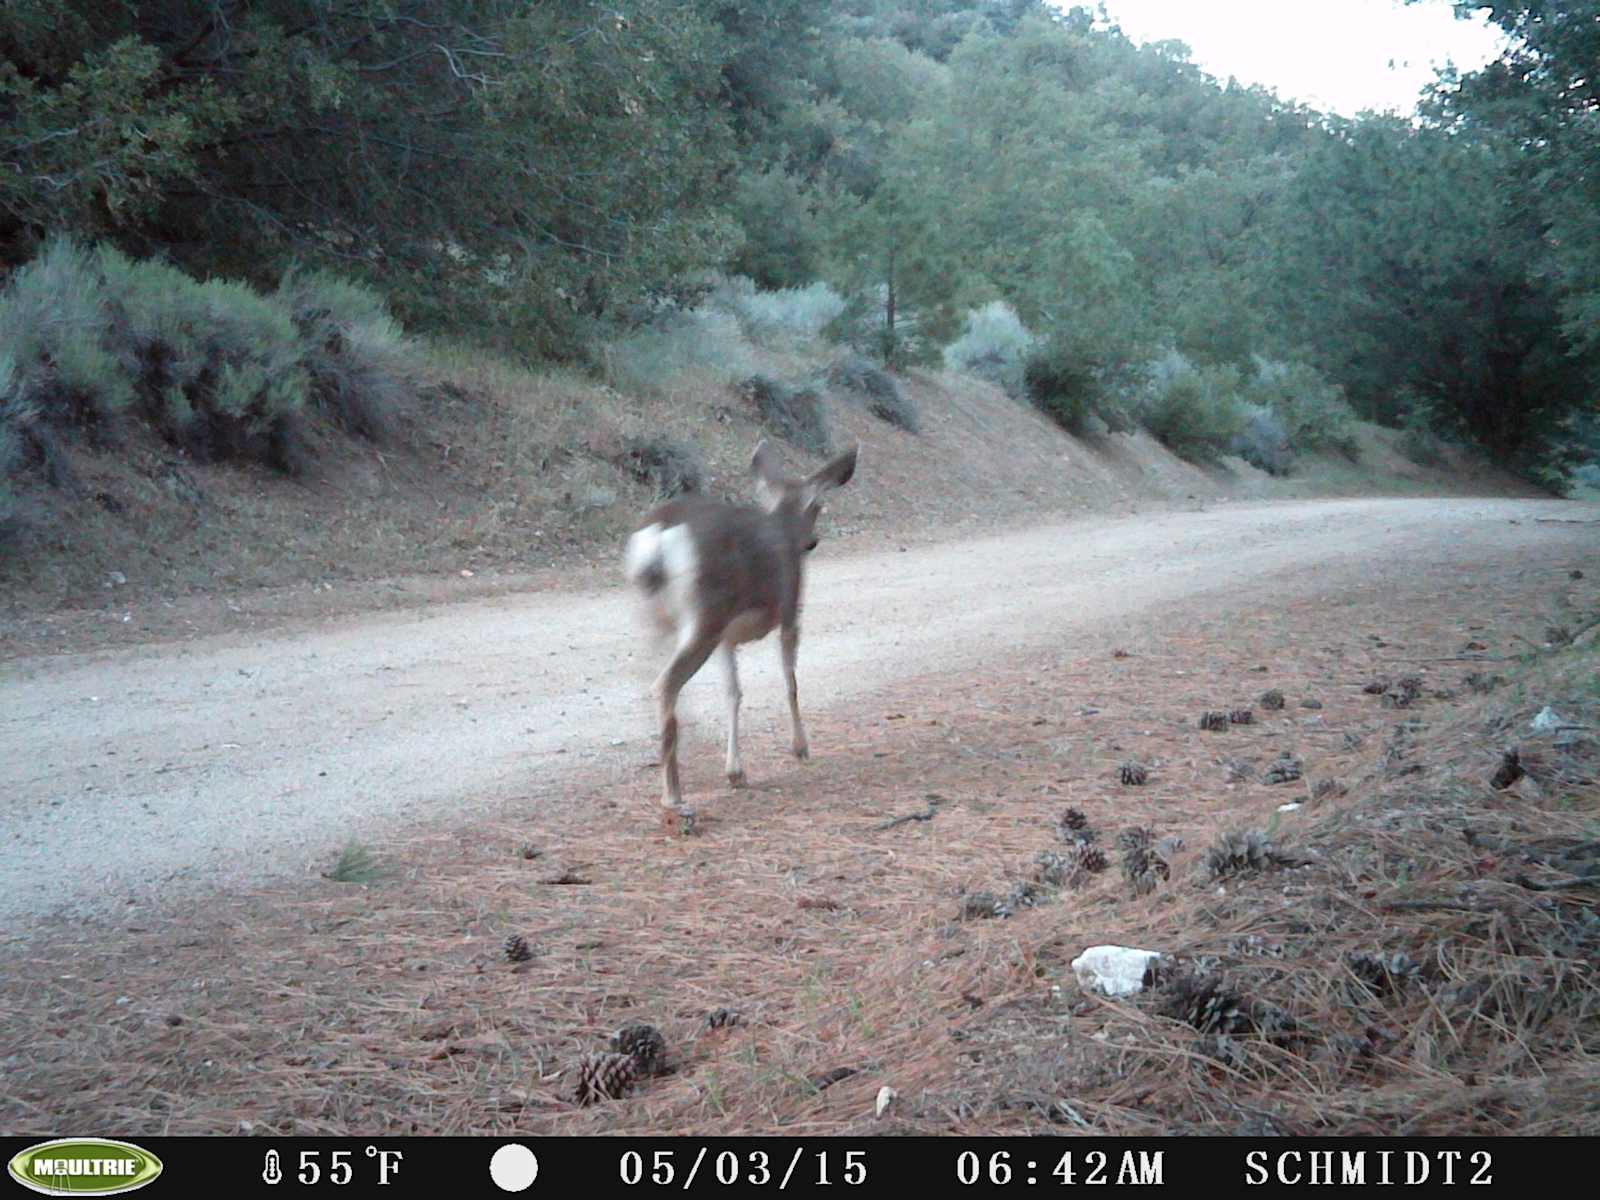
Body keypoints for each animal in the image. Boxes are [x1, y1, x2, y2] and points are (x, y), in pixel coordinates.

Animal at [624, 439, 859, 821]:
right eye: (818, 505)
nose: (812, 541)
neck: (784, 524)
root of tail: (659, 535)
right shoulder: (791, 613)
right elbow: (790, 682)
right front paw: (800, 747)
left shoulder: (727, 638)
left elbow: (733, 693)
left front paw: (735, 771)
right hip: (706, 616)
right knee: (664, 683)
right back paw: (673, 795)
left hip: (658, 616)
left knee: (647, 674)